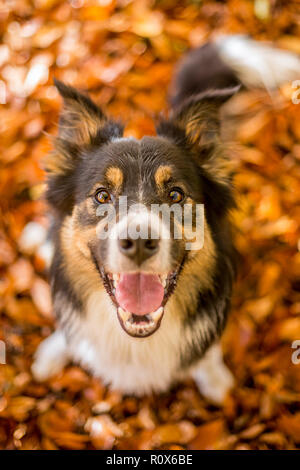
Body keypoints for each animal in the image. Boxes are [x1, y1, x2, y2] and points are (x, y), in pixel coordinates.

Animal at [31, 35, 300, 404]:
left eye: (175, 195)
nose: (139, 242)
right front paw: (53, 352)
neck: (136, 338)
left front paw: (214, 379)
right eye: (102, 196)